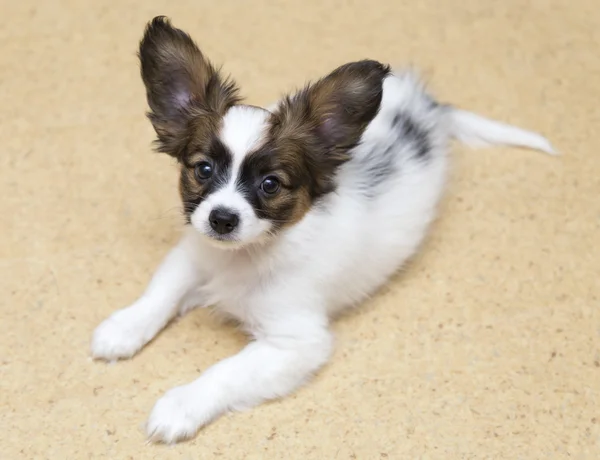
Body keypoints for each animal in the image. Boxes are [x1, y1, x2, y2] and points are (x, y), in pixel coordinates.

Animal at [91, 16, 556, 444]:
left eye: (270, 184)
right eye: (202, 170)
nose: (222, 219)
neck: (243, 257)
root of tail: (427, 105)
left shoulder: (296, 343)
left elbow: (226, 372)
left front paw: (180, 405)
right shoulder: (194, 253)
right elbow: (162, 291)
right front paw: (123, 328)